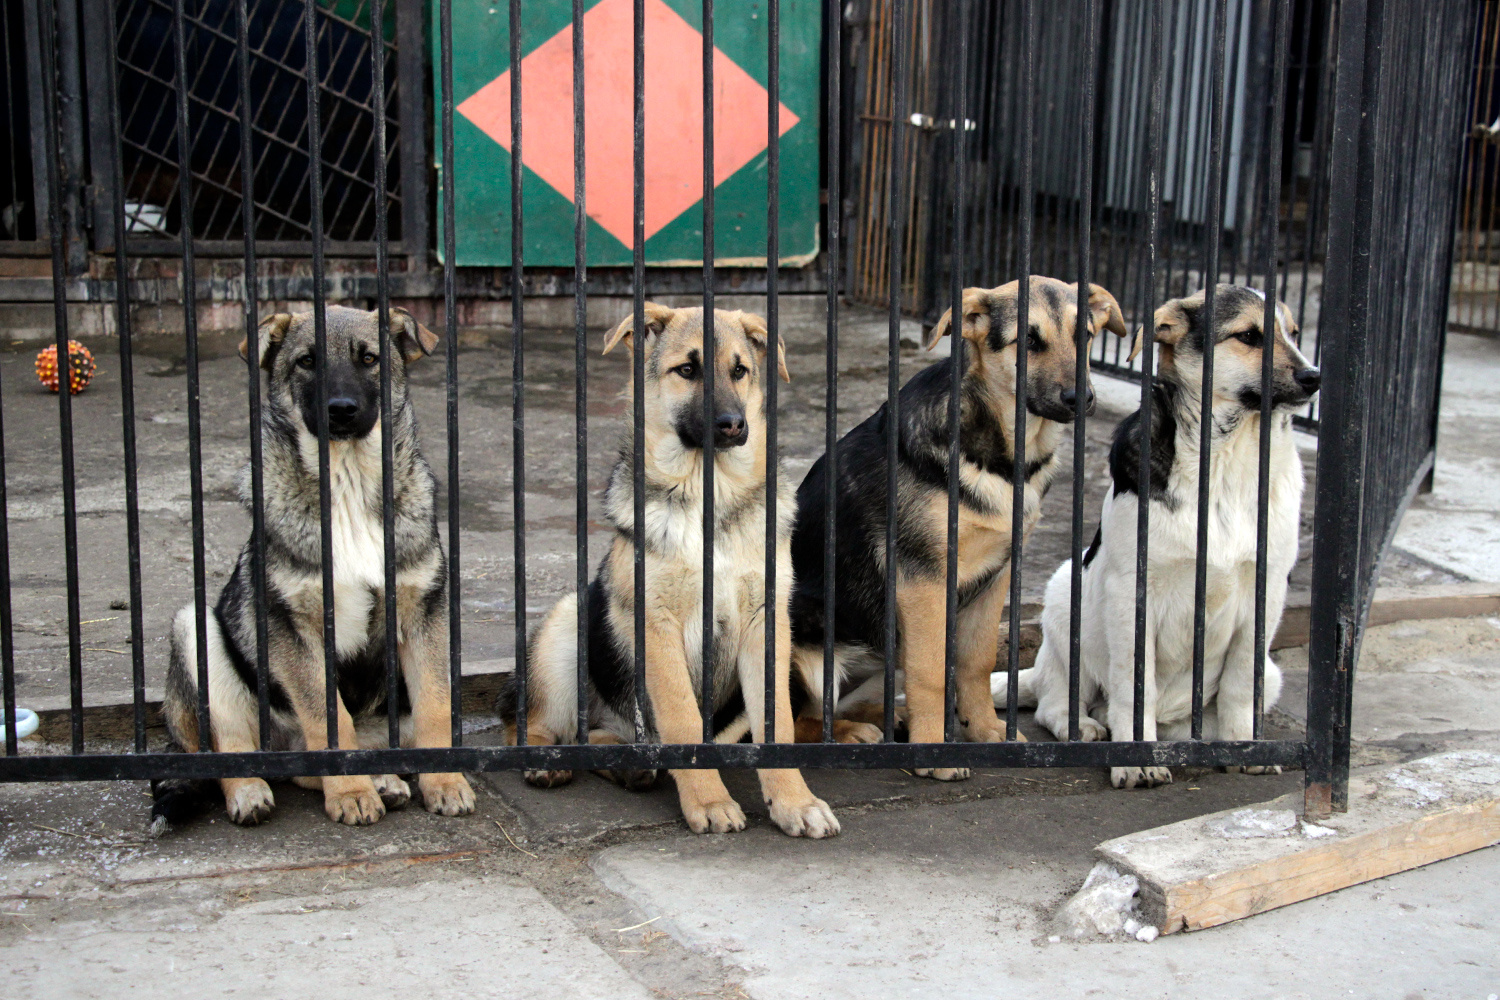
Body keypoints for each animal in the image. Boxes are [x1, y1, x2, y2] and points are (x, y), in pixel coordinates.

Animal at [152, 302, 474, 827]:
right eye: (306, 361)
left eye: (369, 359)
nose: (340, 410)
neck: (347, 485)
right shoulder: (295, 629)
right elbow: (330, 721)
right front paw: (350, 793)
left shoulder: (424, 614)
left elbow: (433, 709)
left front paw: (444, 782)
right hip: (196, 632)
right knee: (235, 750)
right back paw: (252, 791)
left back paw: (384, 779)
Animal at [498, 302, 840, 839]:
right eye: (687, 370)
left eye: (740, 371)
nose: (733, 425)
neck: (709, 495)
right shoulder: (656, 626)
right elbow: (680, 716)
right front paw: (709, 800)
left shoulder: (764, 625)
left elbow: (778, 723)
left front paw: (793, 800)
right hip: (567, 626)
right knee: (528, 721)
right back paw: (547, 760)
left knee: (604, 737)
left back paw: (630, 765)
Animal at [1002, 283, 1320, 791]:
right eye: (1250, 336)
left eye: (1293, 333)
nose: (1315, 377)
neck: (1229, 458)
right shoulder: (1131, 591)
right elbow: (1136, 689)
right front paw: (1135, 759)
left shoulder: (1266, 590)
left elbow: (1238, 686)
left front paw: (1244, 748)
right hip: (1067, 594)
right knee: (1058, 702)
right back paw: (1086, 727)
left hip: (1270, 675)